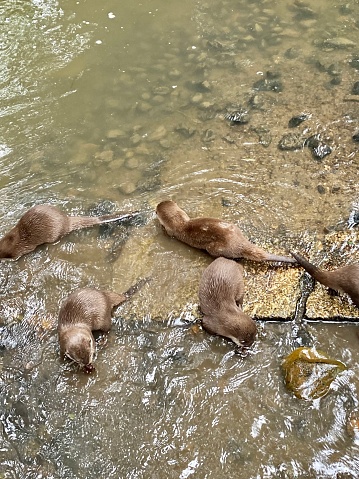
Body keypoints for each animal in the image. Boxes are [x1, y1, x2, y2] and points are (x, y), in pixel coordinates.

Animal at [157, 201, 296, 264]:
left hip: (214, 248)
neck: (180, 221)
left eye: (156, 211)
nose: (154, 210)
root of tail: (240, 243)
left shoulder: (171, 231)